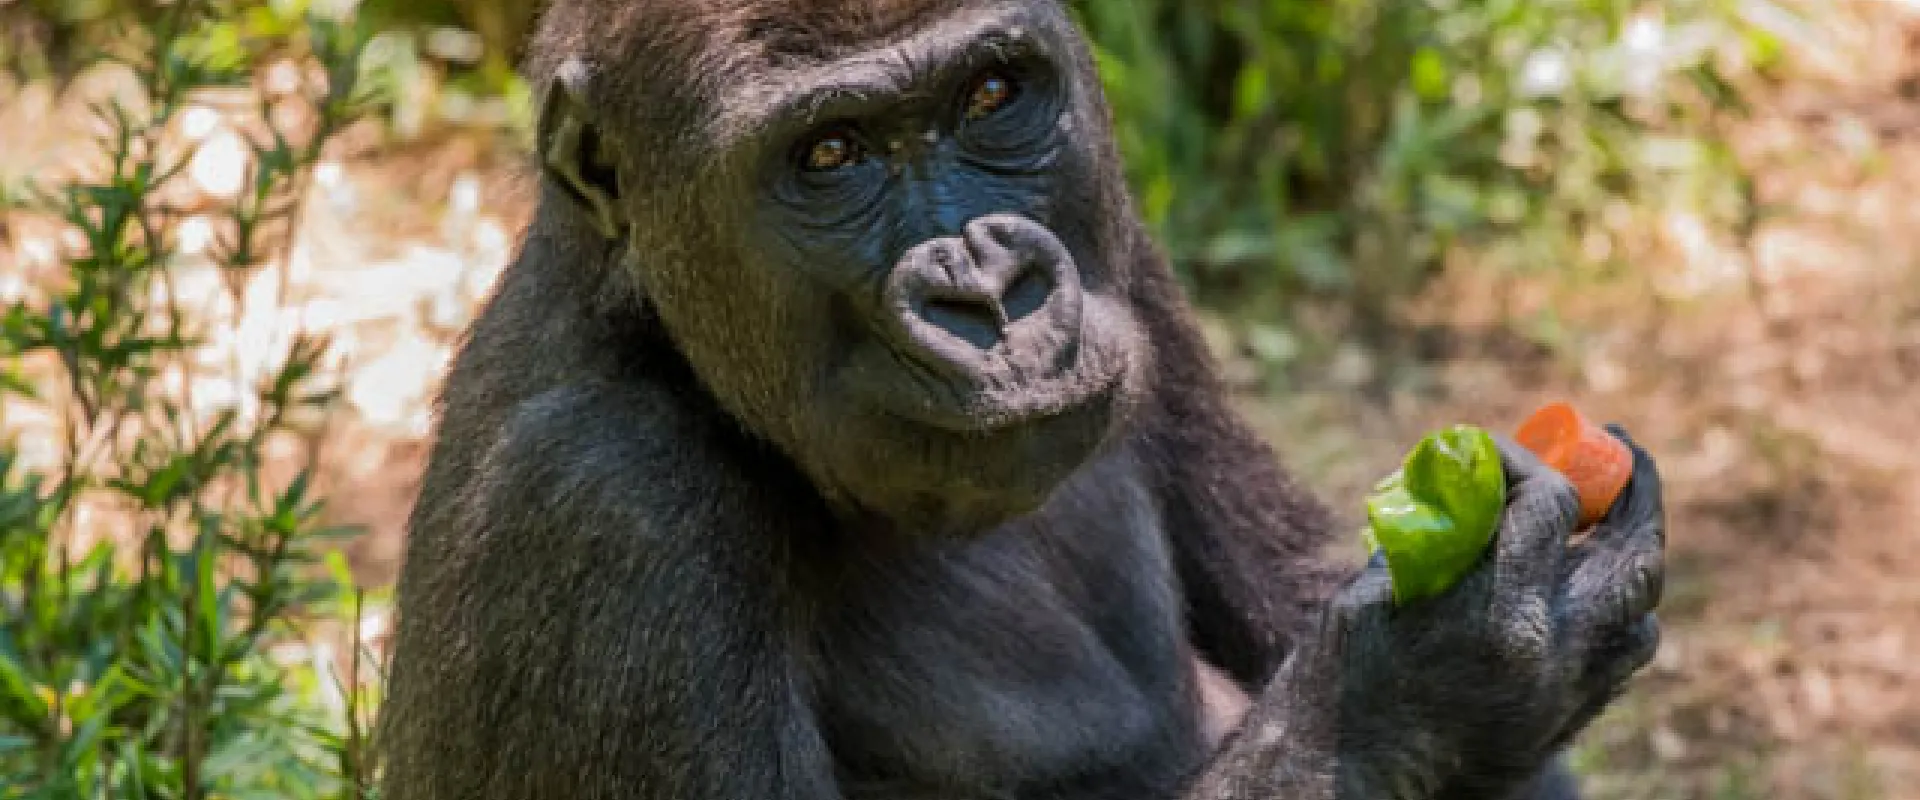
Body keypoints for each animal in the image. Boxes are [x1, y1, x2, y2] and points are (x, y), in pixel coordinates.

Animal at [376, 2, 1667, 798]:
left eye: (993, 92)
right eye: (830, 155)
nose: (991, 293)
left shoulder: (1128, 253)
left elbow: (1287, 575)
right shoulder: (600, 502)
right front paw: (1431, 679)